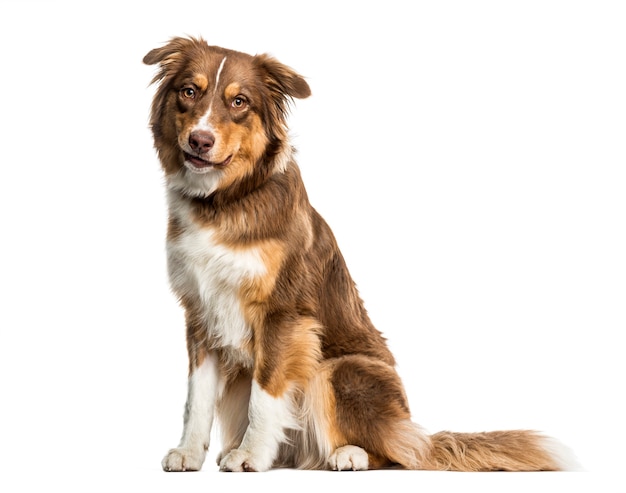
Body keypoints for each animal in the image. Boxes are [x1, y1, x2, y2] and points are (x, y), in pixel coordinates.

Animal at [144, 36, 572, 470]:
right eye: (189, 92)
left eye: (239, 101)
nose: (200, 140)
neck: (224, 200)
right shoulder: (200, 311)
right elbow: (196, 398)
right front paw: (188, 452)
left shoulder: (284, 314)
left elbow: (266, 394)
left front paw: (249, 456)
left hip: (340, 369)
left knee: (398, 452)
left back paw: (350, 453)